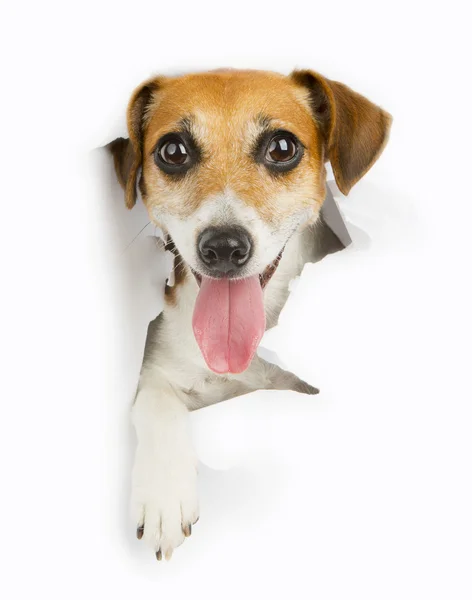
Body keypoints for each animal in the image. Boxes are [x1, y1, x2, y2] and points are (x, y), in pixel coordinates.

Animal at [109, 68, 392, 560]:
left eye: (281, 147)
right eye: (173, 150)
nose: (223, 247)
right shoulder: (158, 366)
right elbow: (155, 401)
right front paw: (164, 494)